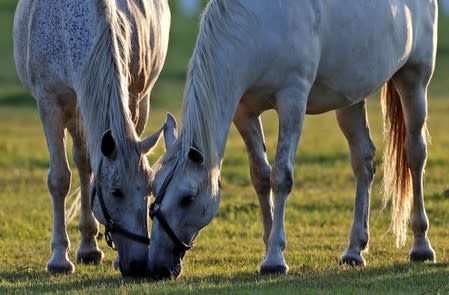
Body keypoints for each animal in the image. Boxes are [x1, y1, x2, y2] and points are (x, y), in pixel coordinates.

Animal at [13, 0, 170, 278]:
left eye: (149, 190)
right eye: (115, 192)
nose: (139, 265)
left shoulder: (133, 97)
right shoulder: (50, 104)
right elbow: (59, 179)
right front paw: (59, 259)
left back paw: (89, 246)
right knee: (84, 165)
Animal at [147, 0, 438, 280]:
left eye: (187, 198)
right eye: (154, 189)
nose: (157, 266)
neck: (257, 25)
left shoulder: (292, 101)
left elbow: (281, 177)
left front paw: (275, 259)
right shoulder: (244, 112)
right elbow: (260, 176)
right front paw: (268, 245)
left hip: (414, 80)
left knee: (415, 155)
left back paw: (421, 245)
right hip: (351, 98)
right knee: (363, 162)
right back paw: (355, 249)